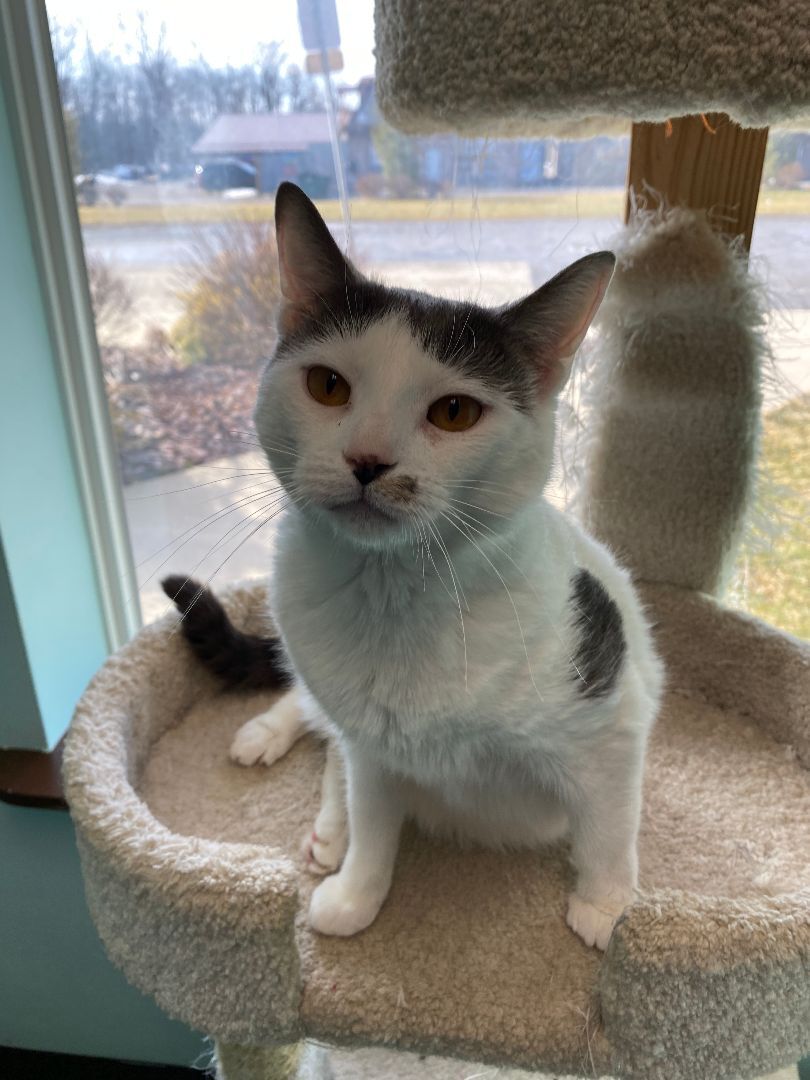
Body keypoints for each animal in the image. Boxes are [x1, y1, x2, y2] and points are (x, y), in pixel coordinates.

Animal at [165, 181, 664, 951]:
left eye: (455, 412)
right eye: (328, 386)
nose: (368, 458)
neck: (393, 591)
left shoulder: (613, 719)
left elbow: (610, 827)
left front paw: (604, 908)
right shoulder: (374, 750)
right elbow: (374, 819)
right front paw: (355, 895)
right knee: (319, 723)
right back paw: (290, 769)